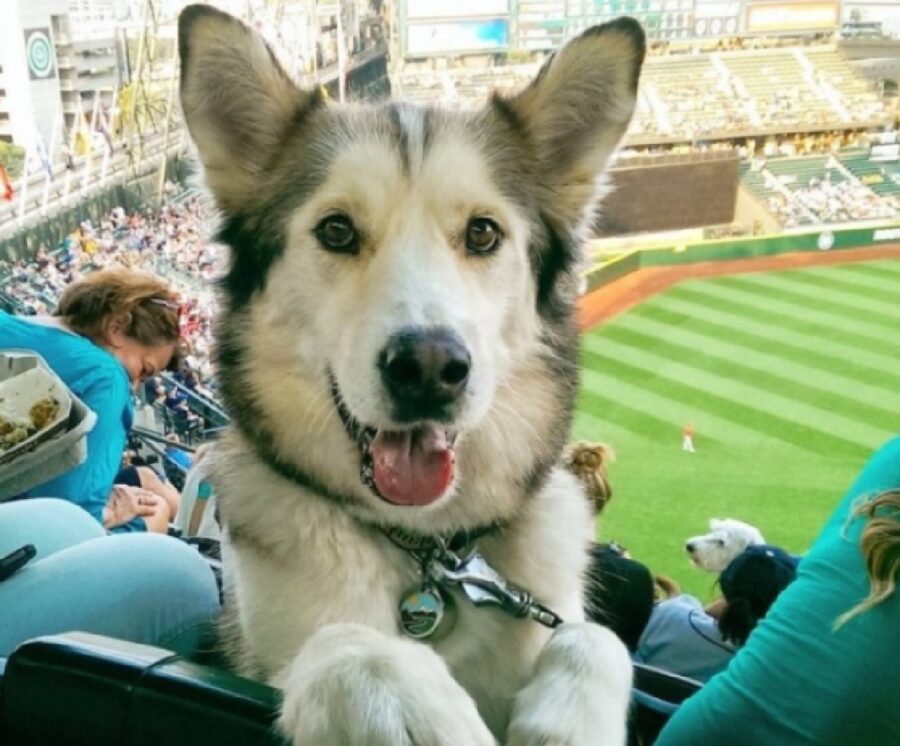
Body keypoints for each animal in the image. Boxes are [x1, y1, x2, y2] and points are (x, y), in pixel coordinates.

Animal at [179, 7, 644, 744]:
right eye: (336, 231)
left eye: (482, 233)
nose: (428, 367)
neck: (432, 553)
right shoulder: (256, 649)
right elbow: (344, 640)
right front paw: (405, 700)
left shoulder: (550, 602)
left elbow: (594, 637)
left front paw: (568, 721)